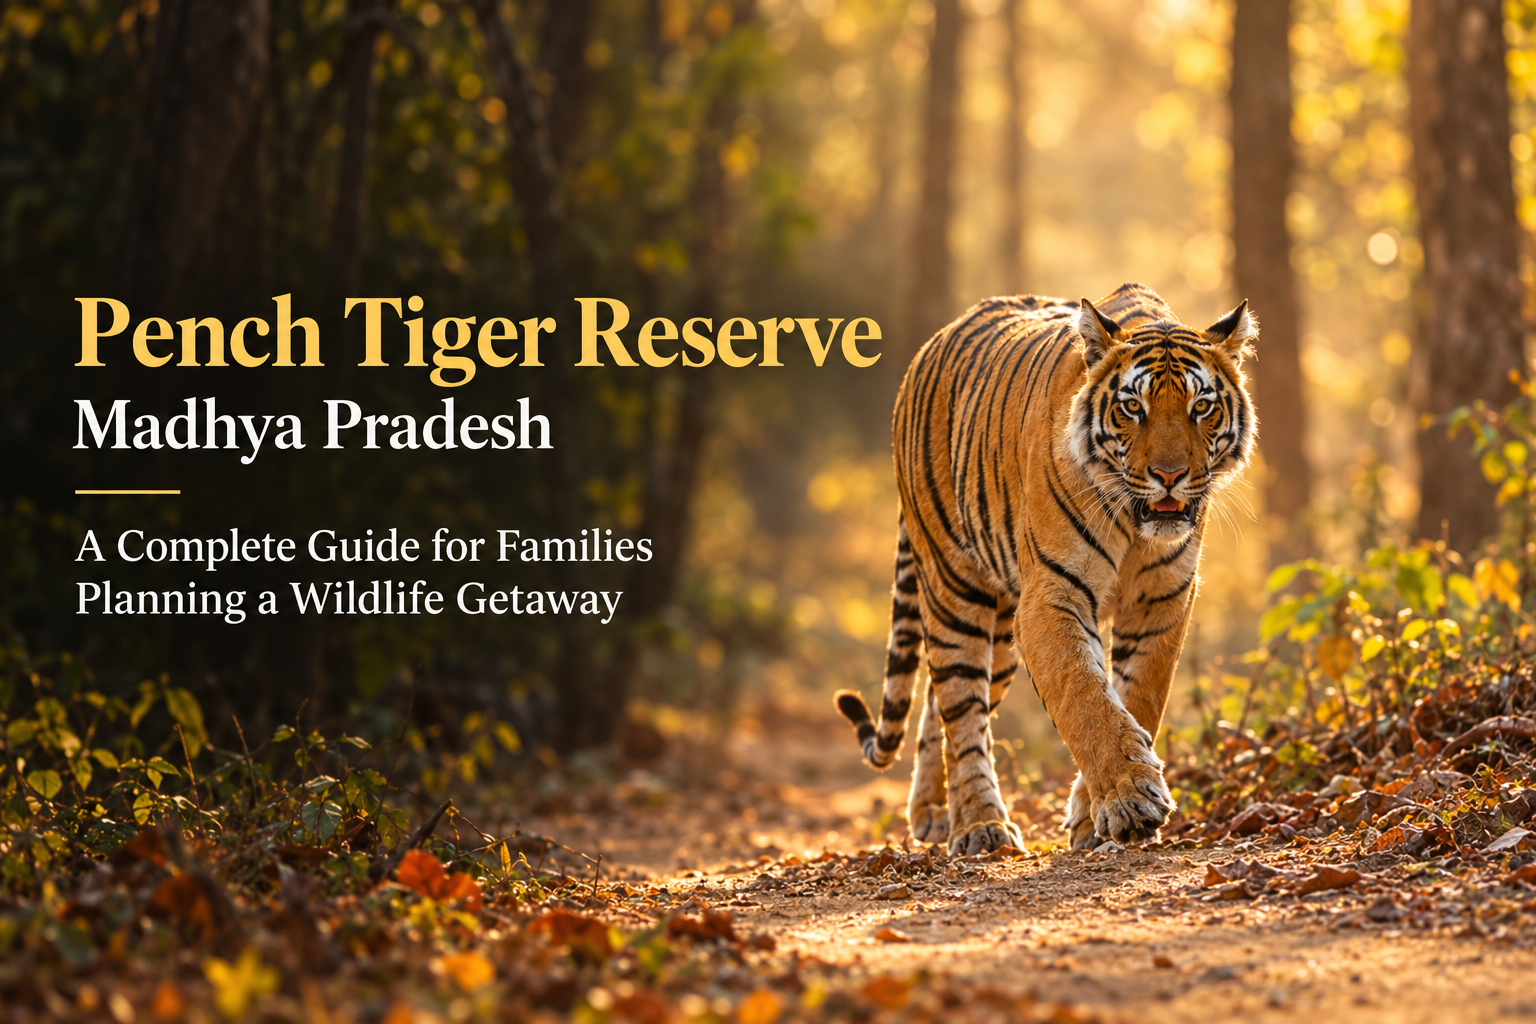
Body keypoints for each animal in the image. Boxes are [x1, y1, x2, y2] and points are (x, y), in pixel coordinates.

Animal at [836, 283, 1256, 854]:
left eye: (1202, 407)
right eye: (1133, 407)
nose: (1169, 475)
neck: (1137, 524)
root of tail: (932, 344)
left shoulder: (1162, 601)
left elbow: (1138, 697)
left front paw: (1093, 816)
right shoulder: (1053, 598)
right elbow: (1084, 698)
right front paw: (1130, 802)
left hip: (1000, 636)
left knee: (937, 709)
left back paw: (934, 814)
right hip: (954, 588)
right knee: (961, 711)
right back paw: (979, 825)